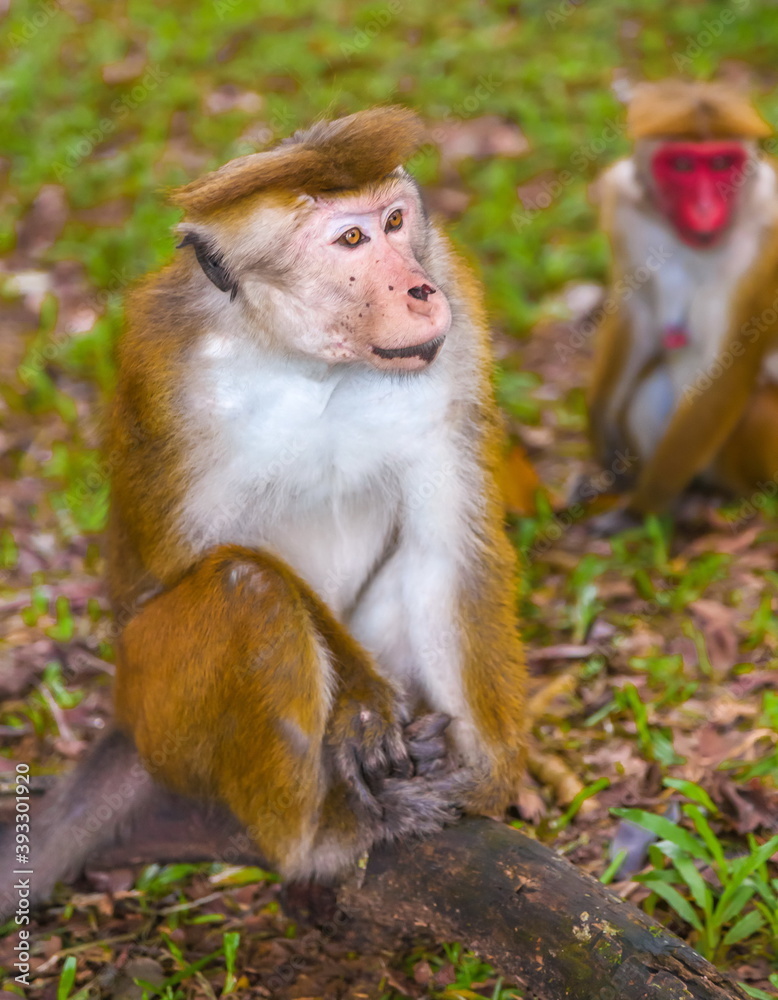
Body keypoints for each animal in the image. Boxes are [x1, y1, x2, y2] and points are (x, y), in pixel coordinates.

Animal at [0, 108, 527, 914]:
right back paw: (318, 839)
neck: (310, 362)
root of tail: (124, 722)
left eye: (395, 221)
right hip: (158, 711)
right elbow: (178, 571)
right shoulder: (168, 368)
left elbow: (445, 551)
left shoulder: (458, 332)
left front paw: (489, 776)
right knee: (246, 591)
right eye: (352, 240)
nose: (420, 290)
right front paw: (360, 700)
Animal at [584, 79, 778, 519]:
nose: (705, 210)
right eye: (683, 166)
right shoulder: (624, 203)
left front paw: (641, 508)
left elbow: (730, 365)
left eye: (722, 163)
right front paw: (604, 441)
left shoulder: (771, 229)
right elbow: (637, 314)